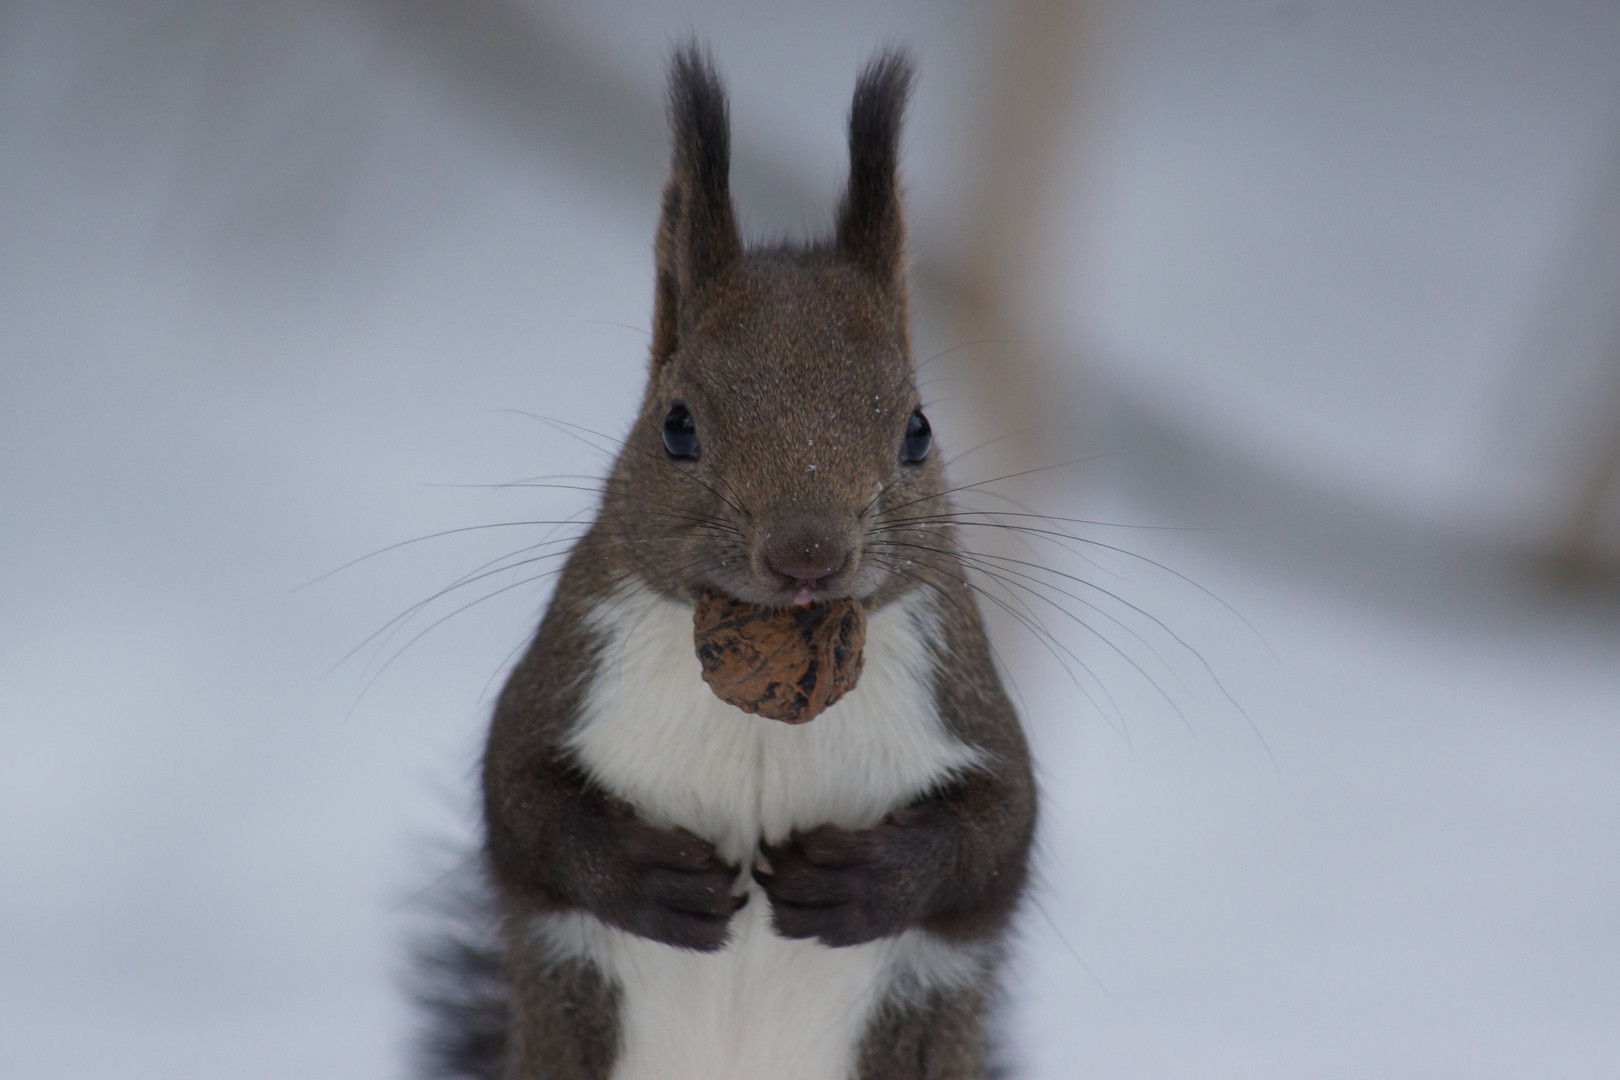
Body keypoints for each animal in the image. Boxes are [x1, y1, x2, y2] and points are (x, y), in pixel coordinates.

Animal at [415, 44, 1037, 1080]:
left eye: (917, 430)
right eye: (677, 426)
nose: (807, 554)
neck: (764, 720)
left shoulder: (961, 689)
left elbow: (999, 833)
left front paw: (856, 883)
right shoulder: (565, 668)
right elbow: (521, 805)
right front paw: (653, 878)